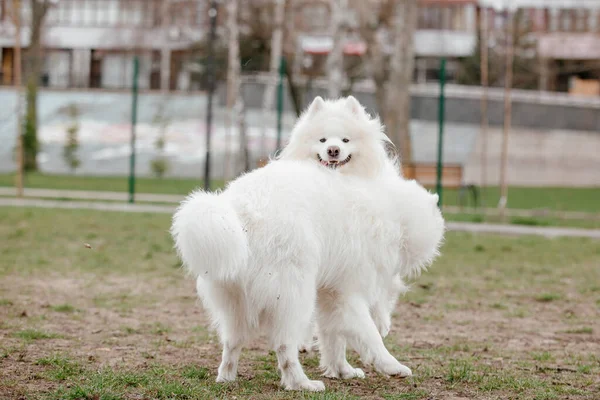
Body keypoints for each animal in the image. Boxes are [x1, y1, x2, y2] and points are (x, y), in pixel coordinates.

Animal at [171, 97, 442, 394]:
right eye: (322, 139)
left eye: (345, 139)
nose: (333, 150)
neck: (388, 207)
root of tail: (237, 211)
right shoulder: (348, 291)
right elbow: (367, 333)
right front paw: (392, 366)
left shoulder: (330, 292)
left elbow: (334, 338)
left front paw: (342, 370)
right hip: (294, 296)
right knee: (284, 347)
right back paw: (301, 383)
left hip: (236, 301)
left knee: (232, 343)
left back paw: (227, 377)